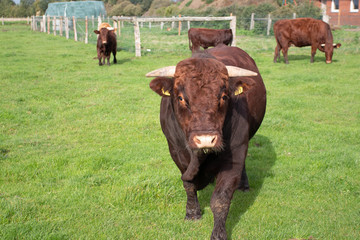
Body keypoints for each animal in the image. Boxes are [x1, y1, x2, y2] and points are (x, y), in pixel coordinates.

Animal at [147, 44, 268, 238]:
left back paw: (243, 184)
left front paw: (219, 233)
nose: (205, 139)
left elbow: (220, 198)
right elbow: (188, 185)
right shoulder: (176, 151)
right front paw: (192, 213)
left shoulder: (235, 154)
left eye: (224, 96)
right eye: (181, 98)